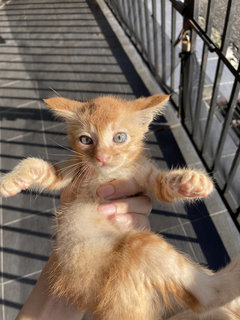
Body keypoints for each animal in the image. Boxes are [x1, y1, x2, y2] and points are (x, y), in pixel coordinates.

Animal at [0, 94, 240, 318]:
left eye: (119, 137)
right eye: (85, 139)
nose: (102, 158)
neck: (108, 174)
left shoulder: (145, 177)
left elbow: (163, 187)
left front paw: (192, 181)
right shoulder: (72, 170)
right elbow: (37, 165)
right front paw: (10, 181)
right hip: (137, 251)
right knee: (205, 299)